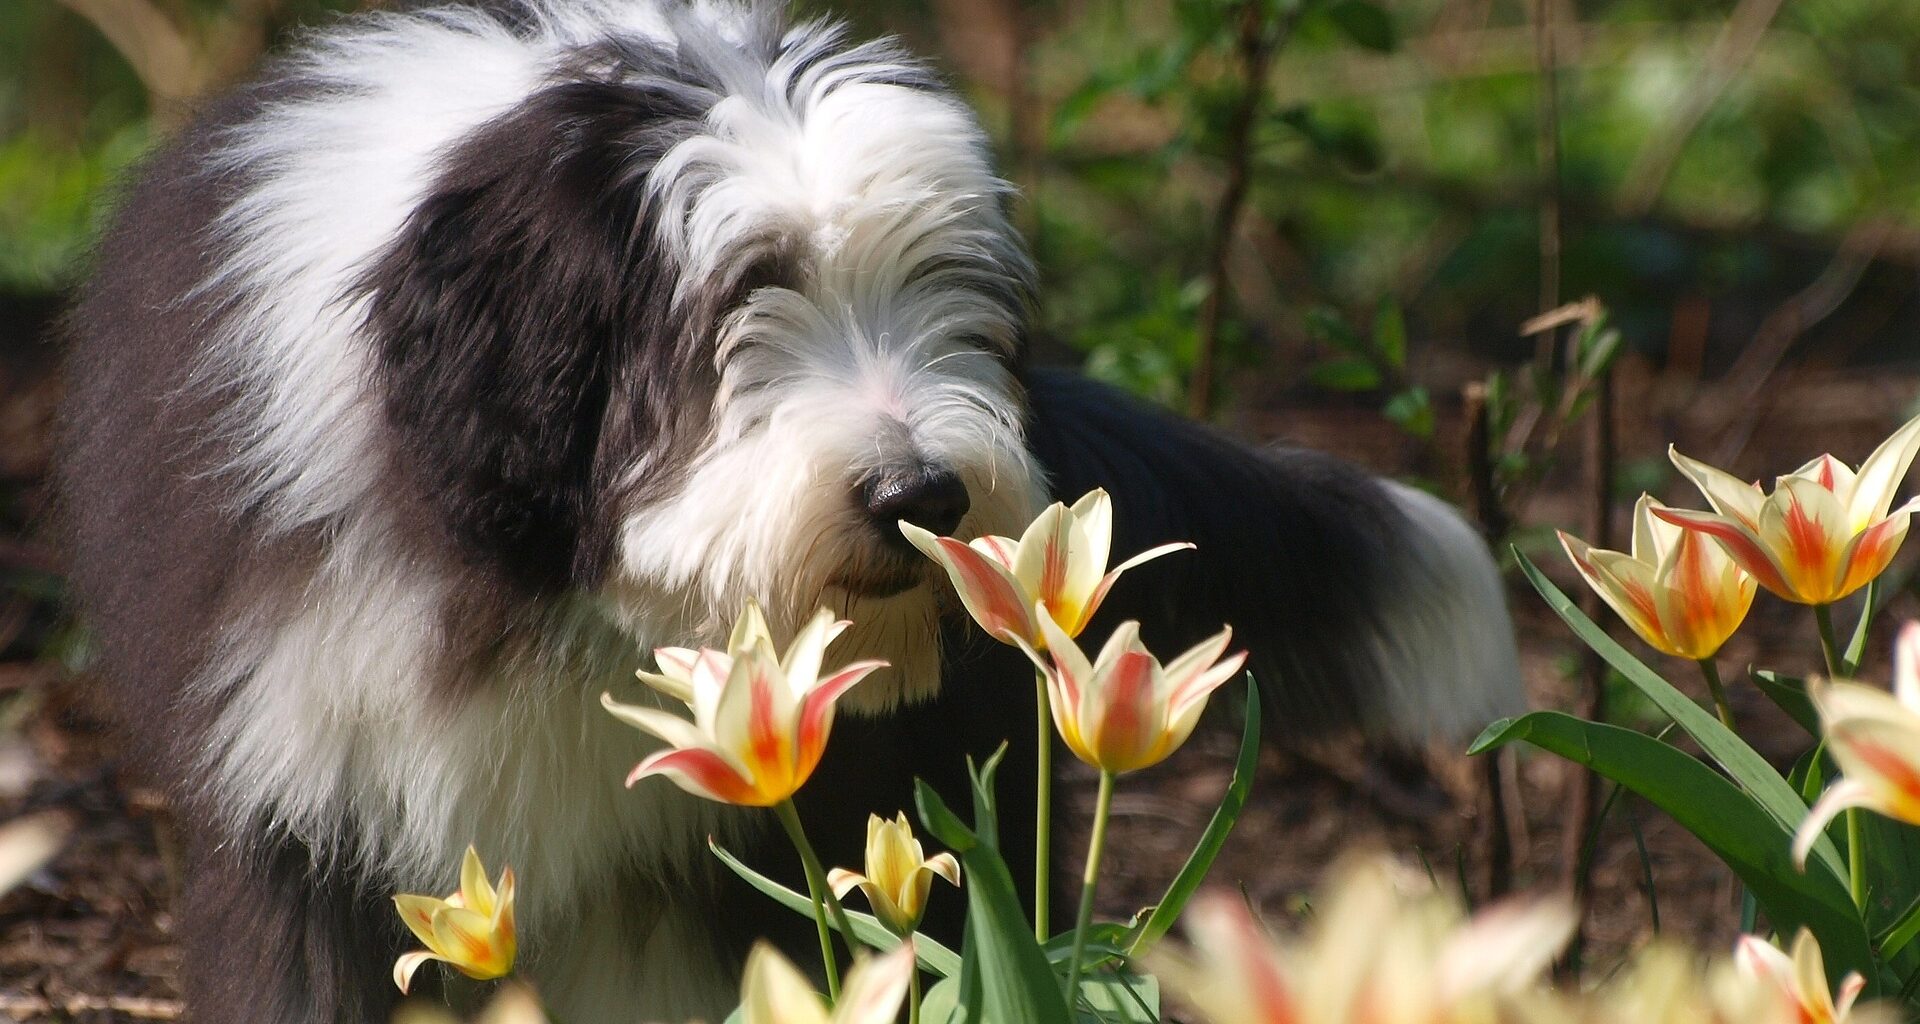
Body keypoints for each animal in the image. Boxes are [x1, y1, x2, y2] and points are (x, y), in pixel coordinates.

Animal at [60, 3, 1520, 1014]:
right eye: (739, 300)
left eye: (945, 290)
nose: (920, 491)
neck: (556, 600)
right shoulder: (306, 802)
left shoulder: (737, 844)